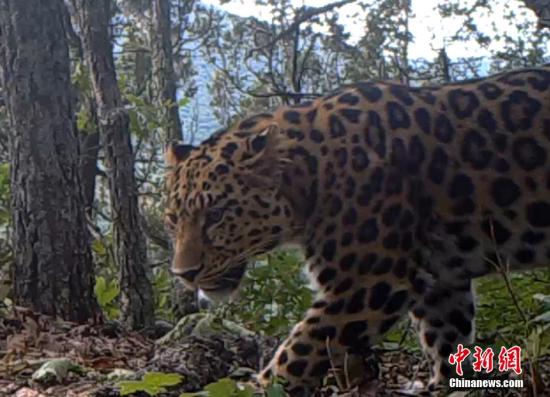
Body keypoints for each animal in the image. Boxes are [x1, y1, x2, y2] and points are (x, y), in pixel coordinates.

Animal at [163, 65, 550, 392]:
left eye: (216, 215)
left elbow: (299, 349)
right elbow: (446, 337)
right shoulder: (440, 280)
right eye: (172, 219)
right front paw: (445, 385)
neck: (312, 173)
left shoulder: (370, 283)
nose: (184, 274)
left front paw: (259, 388)